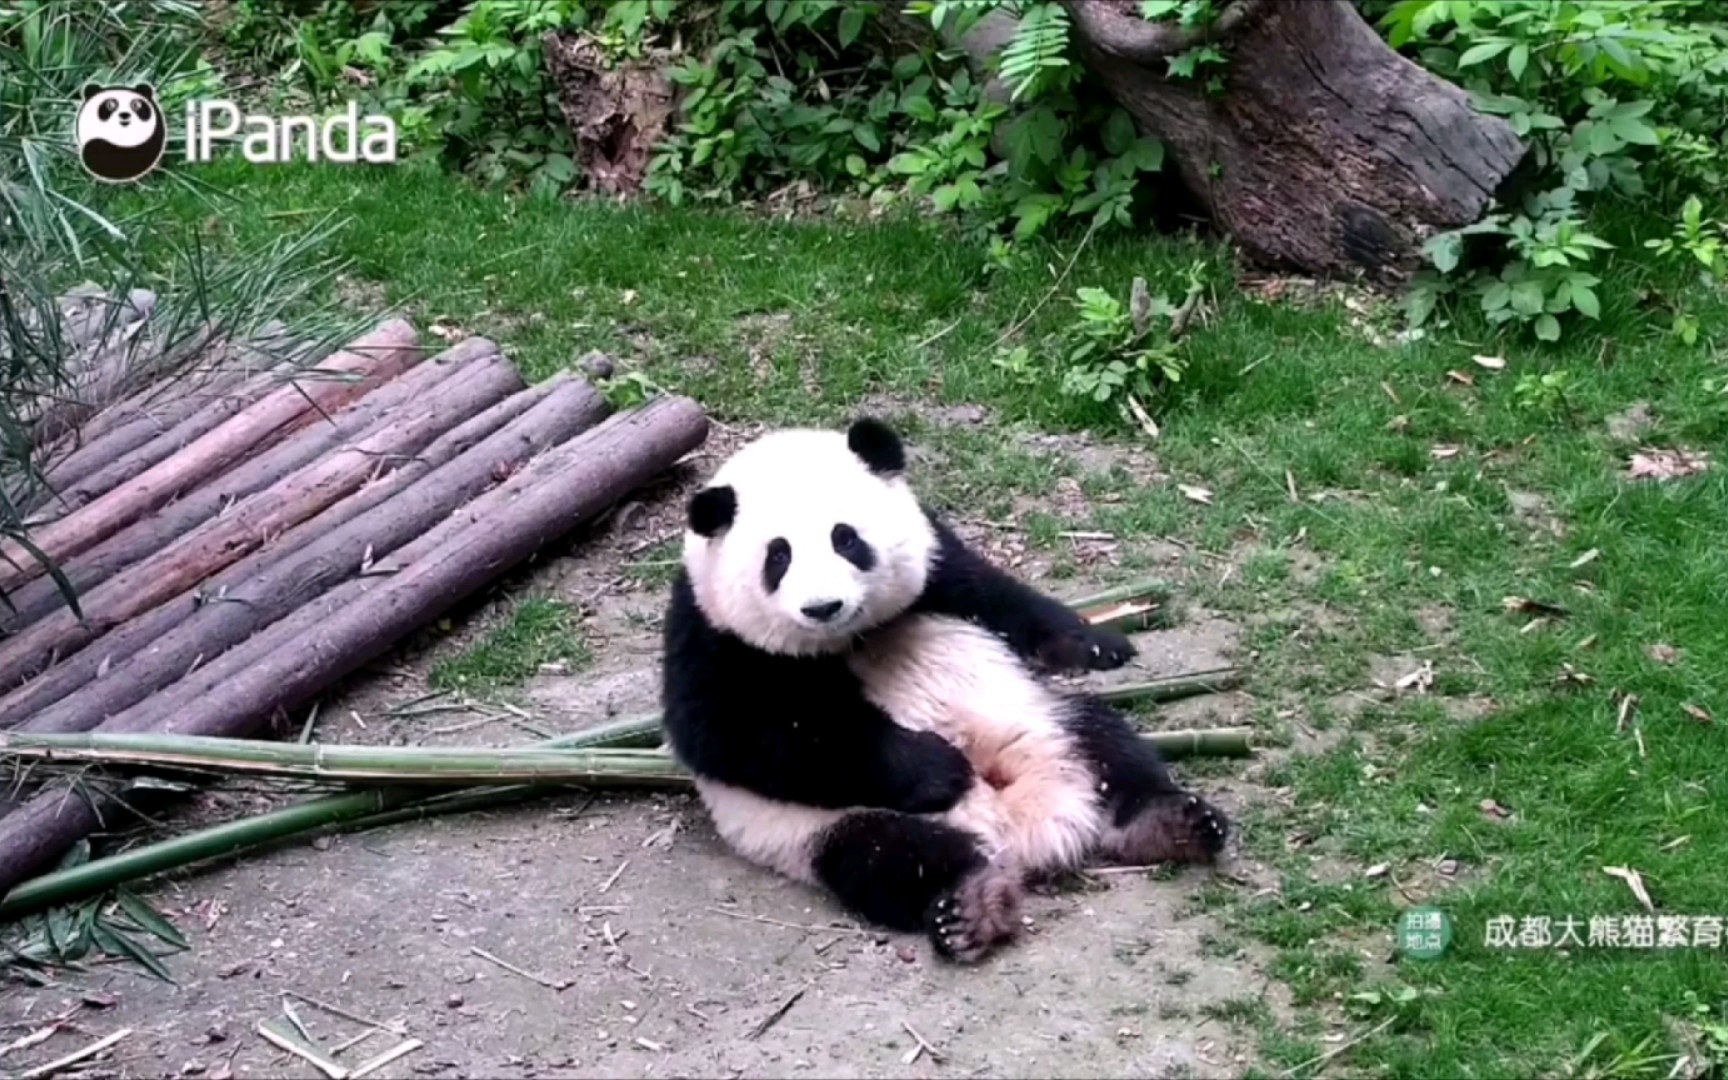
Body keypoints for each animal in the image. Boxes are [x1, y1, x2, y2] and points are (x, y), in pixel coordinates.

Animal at [660, 414, 1230, 960]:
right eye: (778, 557)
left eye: (845, 538)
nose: (823, 607)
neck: (848, 639)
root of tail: (1018, 831)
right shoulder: (712, 634)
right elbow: (745, 737)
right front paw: (939, 766)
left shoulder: (936, 561)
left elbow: (999, 597)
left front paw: (1095, 644)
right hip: (822, 827)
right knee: (891, 857)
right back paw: (971, 903)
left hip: (1040, 716)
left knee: (1109, 745)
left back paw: (1174, 821)